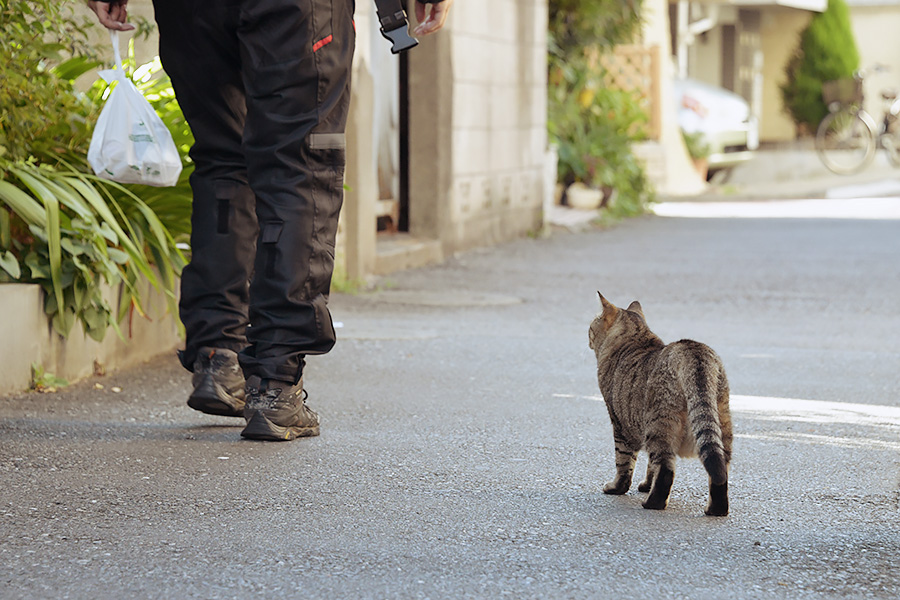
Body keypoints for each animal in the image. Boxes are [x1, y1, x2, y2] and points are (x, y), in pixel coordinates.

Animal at [592, 292, 732, 512]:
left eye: (591, 327)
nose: (588, 336)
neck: (636, 339)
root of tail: (691, 349)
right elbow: (650, 467)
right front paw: (646, 485)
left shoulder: (619, 425)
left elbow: (623, 462)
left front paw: (616, 488)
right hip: (721, 421)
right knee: (720, 469)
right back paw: (716, 509)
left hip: (659, 424)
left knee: (666, 469)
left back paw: (652, 503)